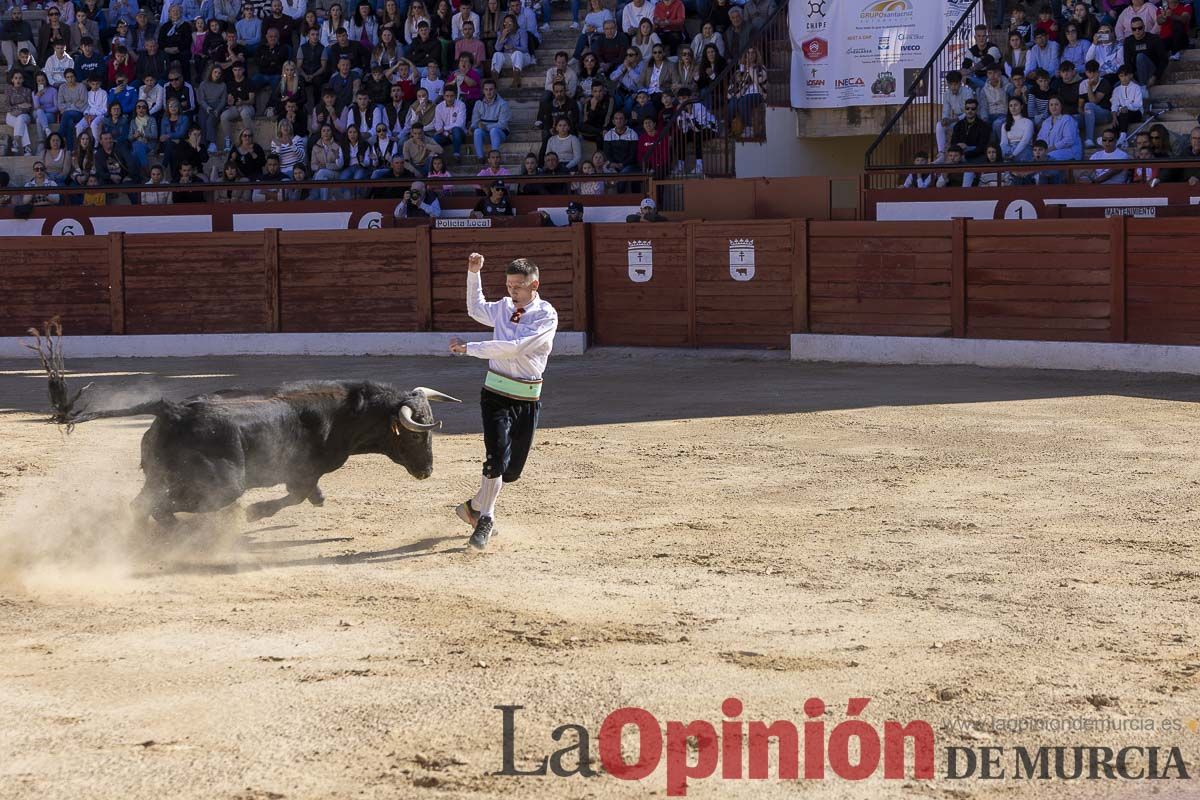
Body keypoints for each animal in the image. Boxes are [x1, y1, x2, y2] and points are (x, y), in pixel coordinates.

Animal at [63, 381, 460, 525]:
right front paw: (256, 512)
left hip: (158, 475)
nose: (427, 471)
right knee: (164, 507)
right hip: (222, 486)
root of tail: (173, 410)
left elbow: (311, 496)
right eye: (415, 436)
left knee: (142, 504)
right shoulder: (304, 472)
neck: (344, 414)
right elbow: (297, 496)